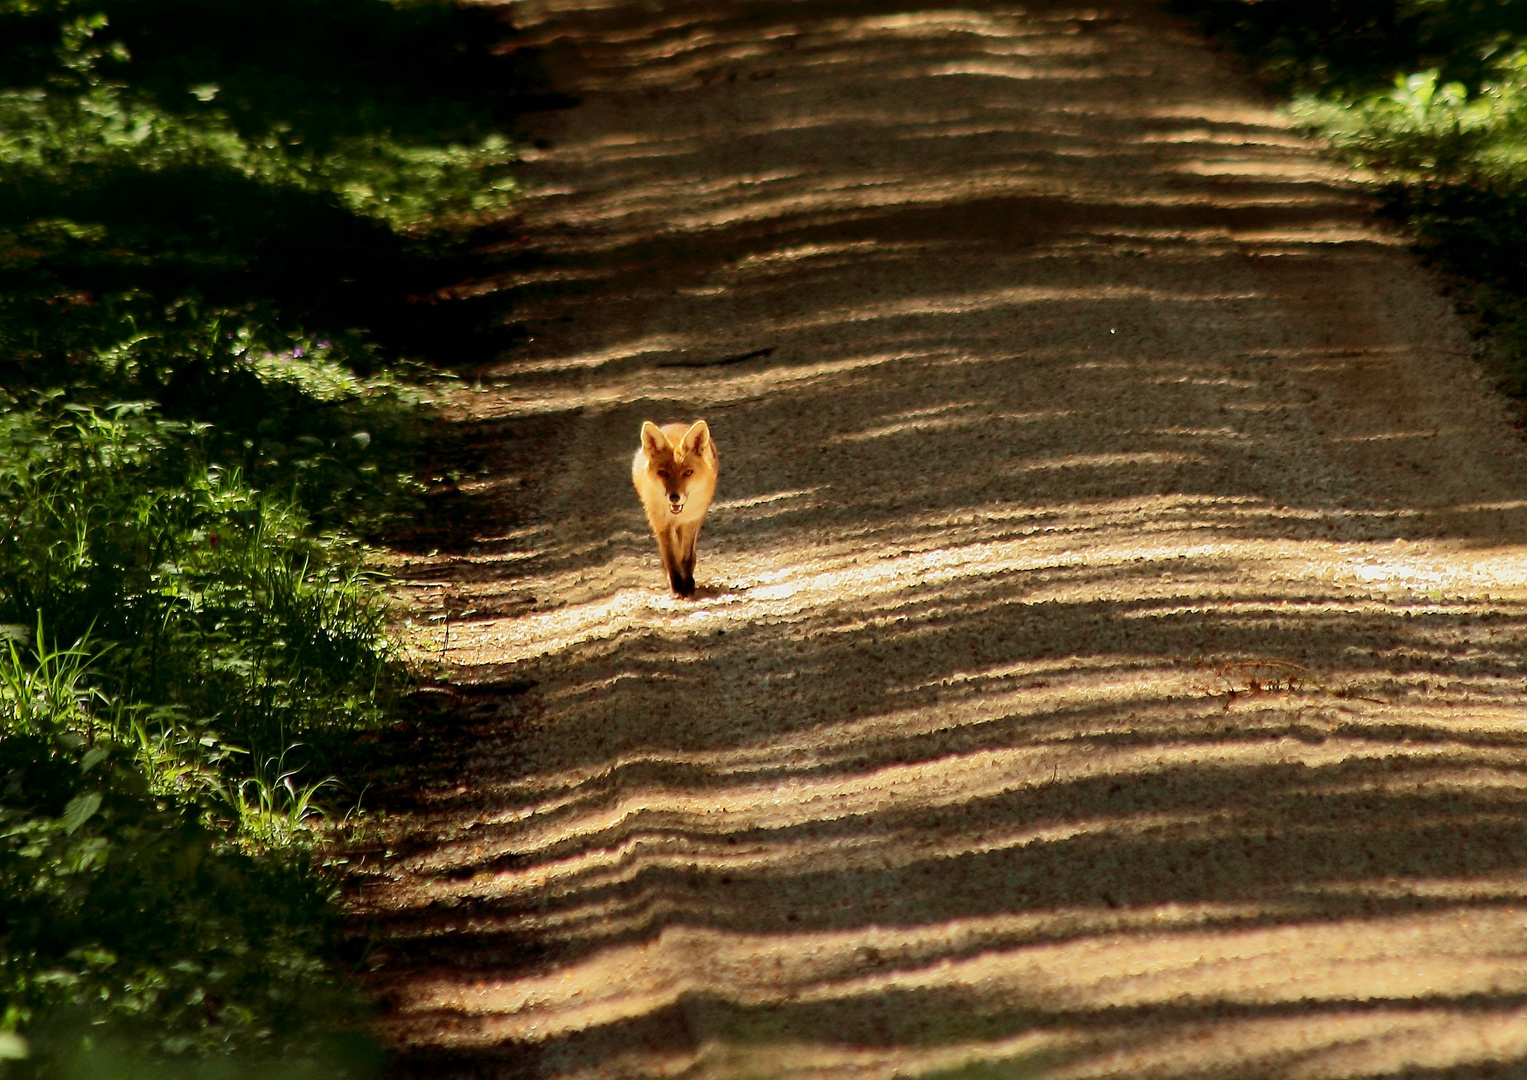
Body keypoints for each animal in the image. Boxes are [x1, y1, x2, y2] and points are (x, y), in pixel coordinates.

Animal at [638, 421, 720, 598]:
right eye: (663, 473)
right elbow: (671, 559)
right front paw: (676, 587)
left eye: (688, 472)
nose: (674, 497)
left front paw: (687, 585)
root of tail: (674, 424)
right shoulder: (661, 523)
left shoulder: (691, 520)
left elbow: (686, 558)